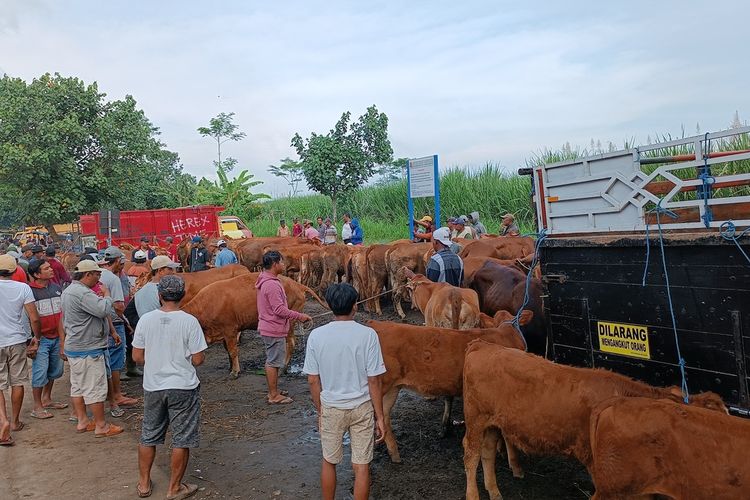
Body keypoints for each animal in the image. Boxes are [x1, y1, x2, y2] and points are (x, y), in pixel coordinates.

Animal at [181, 272, 326, 376]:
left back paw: (283, 368)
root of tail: (297, 284)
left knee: (290, 343)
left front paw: (235, 371)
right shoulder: (224, 333)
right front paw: (230, 368)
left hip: (289, 322)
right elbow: (228, 350)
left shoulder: (230, 330)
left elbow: (233, 351)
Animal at [368, 310, 532, 462]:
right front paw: (503, 452)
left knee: (384, 416)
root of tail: (375, 324)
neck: (506, 335)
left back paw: (395, 454)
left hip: (392, 389)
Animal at [464, 344, 728, 500]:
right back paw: (473, 494)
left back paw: (494, 491)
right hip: (475, 419)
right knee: (471, 455)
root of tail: (484, 345)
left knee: (487, 453)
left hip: (492, 424)